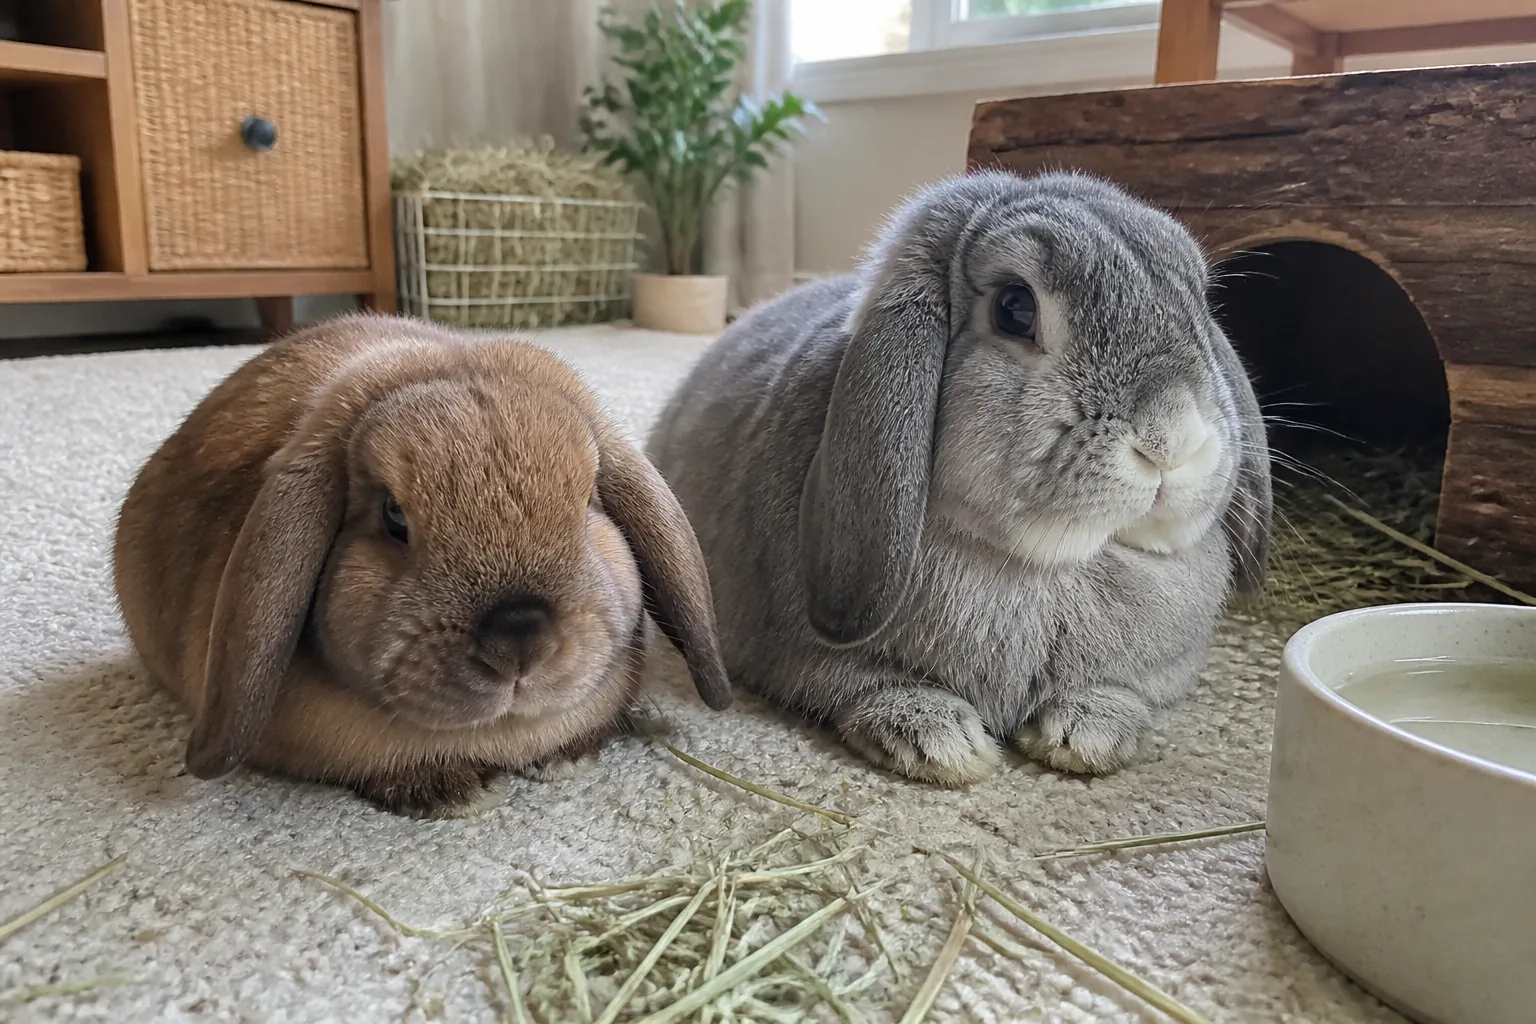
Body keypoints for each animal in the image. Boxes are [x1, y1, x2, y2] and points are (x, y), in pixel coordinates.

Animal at [648, 170, 1272, 786]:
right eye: (1015, 308)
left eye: (1199, 305)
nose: (1174, 441)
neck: (1043, 567)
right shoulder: (808, 659)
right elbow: (860, 685)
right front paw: (940, 745)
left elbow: (1119, 691)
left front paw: (1088, 735)